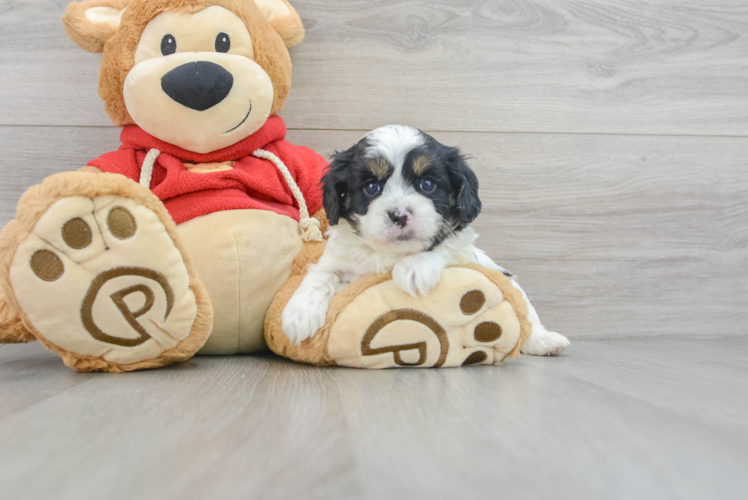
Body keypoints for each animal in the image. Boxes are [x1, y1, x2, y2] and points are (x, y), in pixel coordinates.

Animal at [284, 125, 568, 356]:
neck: (393, 254)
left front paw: (413, 269)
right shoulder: (340, 257)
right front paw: (299, 313)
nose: (400, 214)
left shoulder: (463, 251)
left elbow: (444, 247)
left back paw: (545, 341)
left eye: (427, 184)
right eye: (372, 187)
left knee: (528, 317)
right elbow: (322, 273)